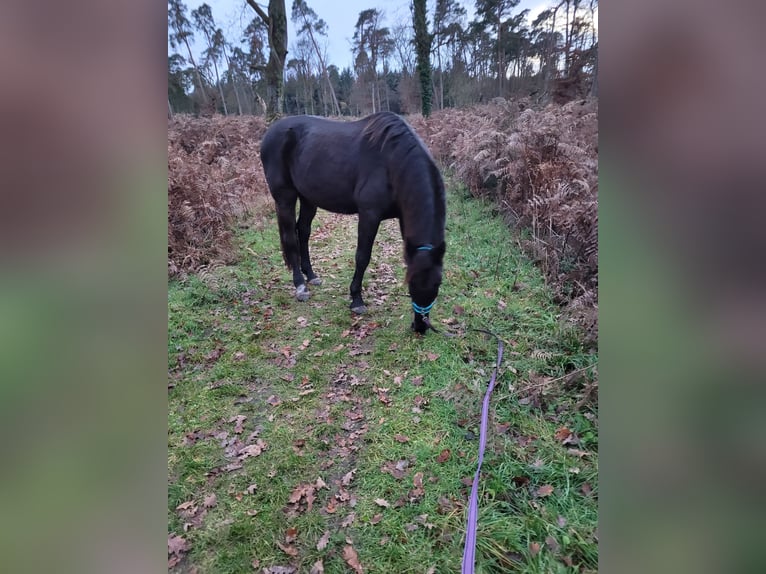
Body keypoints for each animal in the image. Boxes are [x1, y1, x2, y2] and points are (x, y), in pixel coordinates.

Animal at [260, 112, 448, 336]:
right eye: (411, 282)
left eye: (438, 282)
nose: (420, 326)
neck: (392, 162)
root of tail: (270, 132)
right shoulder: (369, 215)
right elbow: (362, 257)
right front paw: (356, 300)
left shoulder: (403, 219)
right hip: (285, 198)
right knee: (290, 237)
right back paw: (300, 286)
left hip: (308, 198)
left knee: (303, 231)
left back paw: (311, 275)